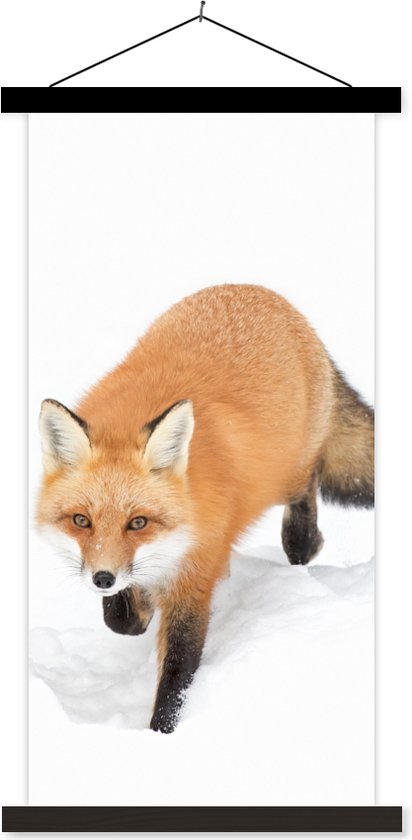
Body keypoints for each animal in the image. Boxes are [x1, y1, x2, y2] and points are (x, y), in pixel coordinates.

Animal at [37, 284, 374, 733]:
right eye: (81, 521)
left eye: (138, 522)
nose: (102, 578)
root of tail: (259, 291)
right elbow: (123, 620)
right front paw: (138, 606)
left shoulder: (195, 578)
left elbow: (178, 671)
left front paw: (162, 733)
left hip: (286, 471)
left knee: (308, 484)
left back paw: (305, 541)